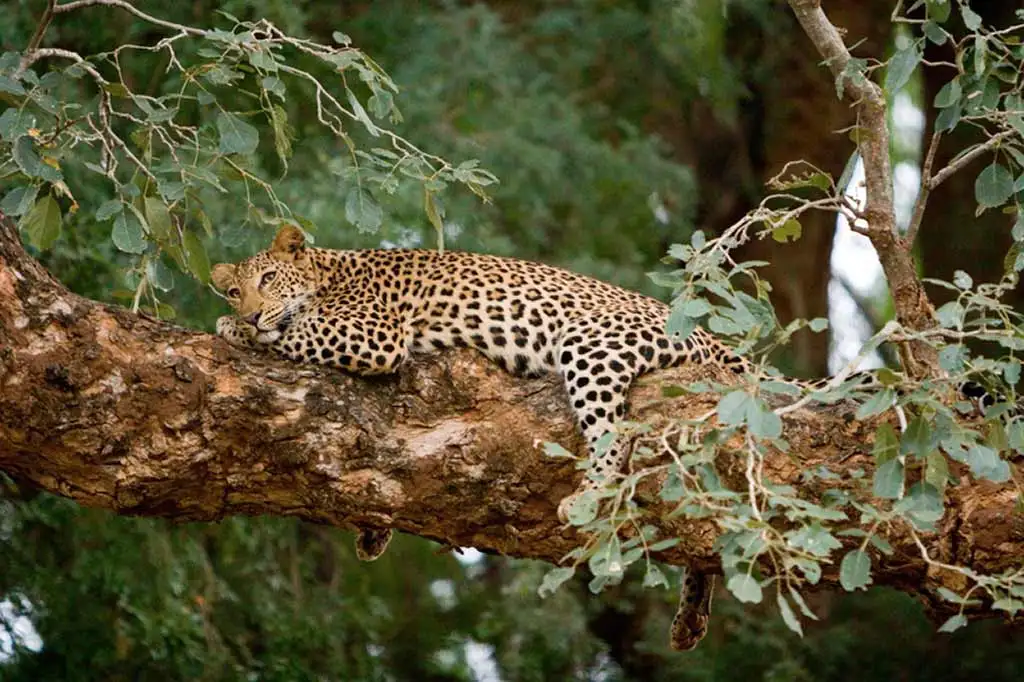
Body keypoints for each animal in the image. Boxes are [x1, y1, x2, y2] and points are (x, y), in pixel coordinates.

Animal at [209, 225, 843, 651]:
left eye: (267, 278)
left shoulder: (374, 334)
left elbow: (296, 331)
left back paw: (586, 497)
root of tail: (708, 336)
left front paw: (239, 330)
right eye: (235, 288)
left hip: (593, 345)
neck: (329, 271)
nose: (250, 309)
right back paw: (690, 617)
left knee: (613, 439)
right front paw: (372, 533)